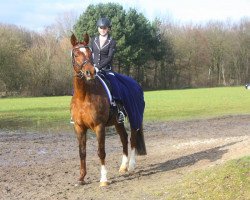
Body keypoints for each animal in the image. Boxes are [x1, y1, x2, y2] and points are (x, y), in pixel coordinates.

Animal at [69, 32, 146, 187]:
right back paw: (123, 167)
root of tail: (136, 84)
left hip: (134, 115)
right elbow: (82, 152)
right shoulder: (79, 127)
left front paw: (104, 179)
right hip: (118, 122)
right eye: (76, 54)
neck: (84, 96)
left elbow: (101, 151)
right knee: (124, 139)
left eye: (89, 53)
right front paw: (81, 178)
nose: (90, 72)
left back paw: (131, 166)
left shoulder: (99, 126)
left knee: (133, 139)